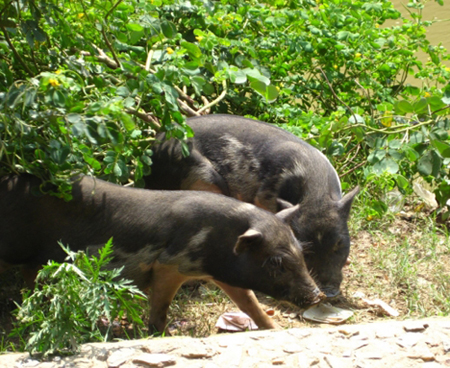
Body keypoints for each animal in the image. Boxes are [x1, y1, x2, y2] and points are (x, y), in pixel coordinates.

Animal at [0, 175, 324, 334]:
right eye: (276, 262)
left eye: (300, 251)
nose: (318, 295)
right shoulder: (171, 264)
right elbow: (162, 304)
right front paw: (162, 333)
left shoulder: (221, 273)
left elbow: (249, 302)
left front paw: (273, 329)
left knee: (30, 275)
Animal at [144, 115, 358, 300]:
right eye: (306, 250)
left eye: (339, 243)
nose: (329, 292)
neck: (315, 194)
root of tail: (154, 149)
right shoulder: (264, 195)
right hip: (201, 176)